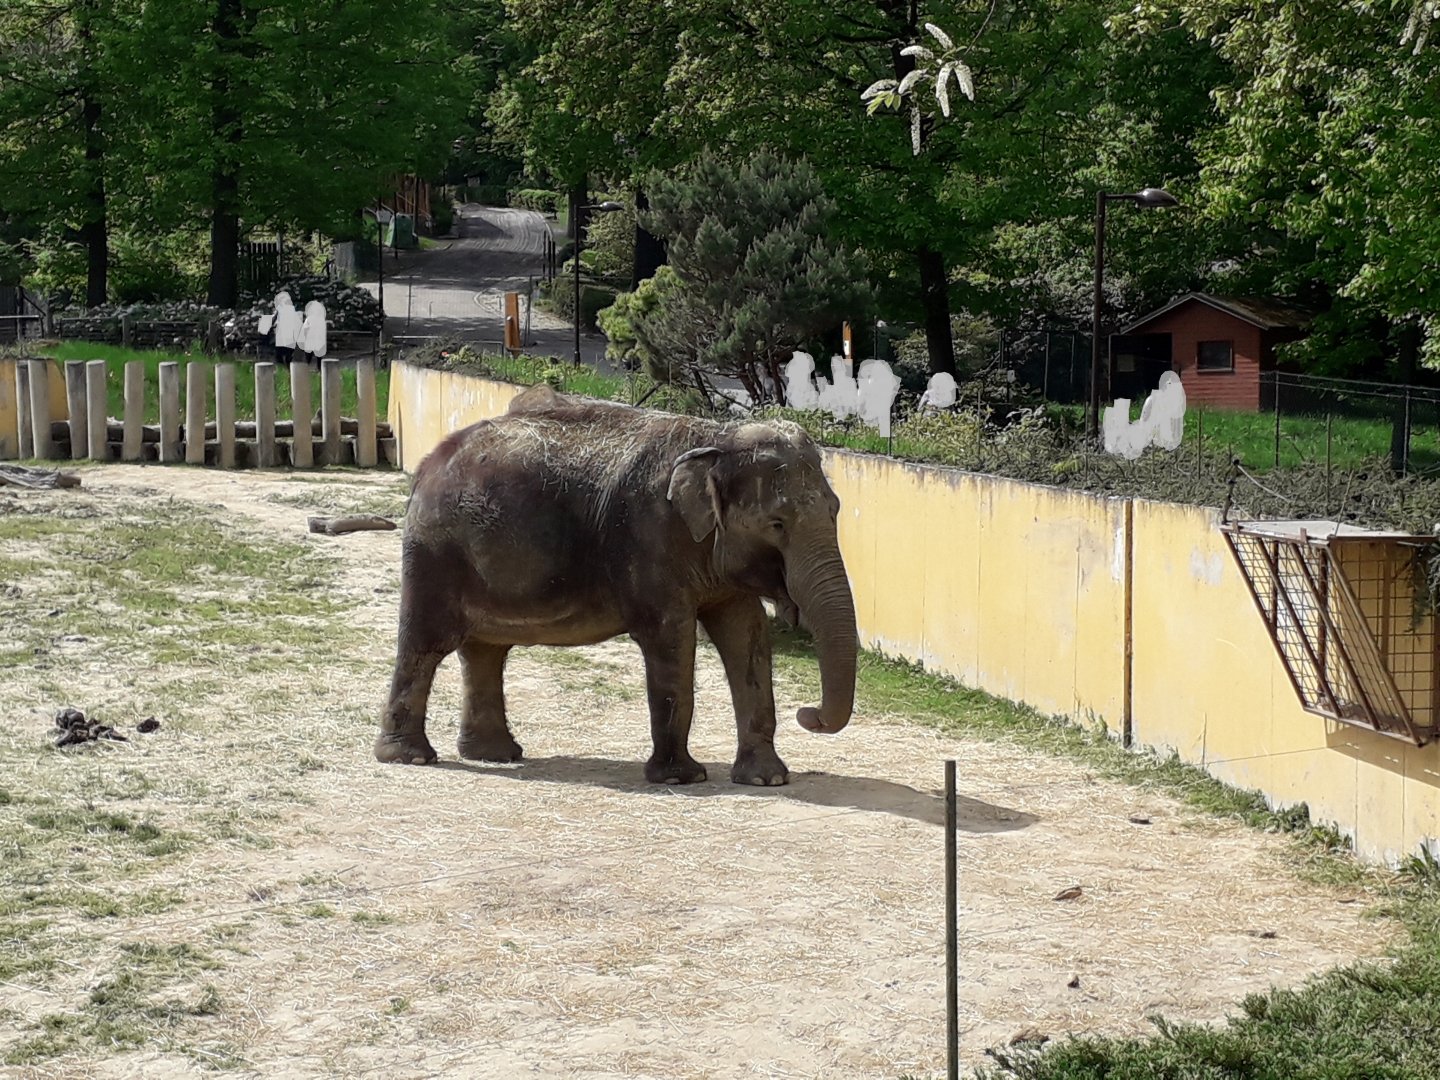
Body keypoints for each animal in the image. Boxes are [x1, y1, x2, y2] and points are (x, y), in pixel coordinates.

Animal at [374, 383, 859, 786]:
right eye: (776, 524)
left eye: (836, 509)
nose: (809, 714)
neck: (718, 438)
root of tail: (427, 462)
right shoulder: (649, 539)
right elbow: (671, 640)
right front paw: (681, 778)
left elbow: (747, 636)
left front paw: (767, 779)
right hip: (434, 552)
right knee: (426, 644)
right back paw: (411, 757)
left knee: (484, 651)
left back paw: (496, 754)